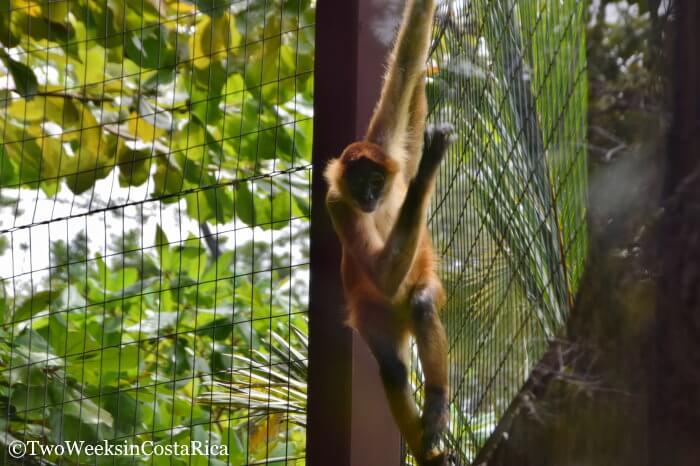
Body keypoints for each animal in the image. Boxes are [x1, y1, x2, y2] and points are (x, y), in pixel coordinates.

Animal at [324, 1, 454, 464]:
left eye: (376, 182)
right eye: (359, 182)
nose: (367, 195)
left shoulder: (385, 144)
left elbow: (405, 63)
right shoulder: (336, 202)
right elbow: (380, 275)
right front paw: (425, 172)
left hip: (420, 285)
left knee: (421, 305)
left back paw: (436, 405)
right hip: (373, 314)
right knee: (394, 370)